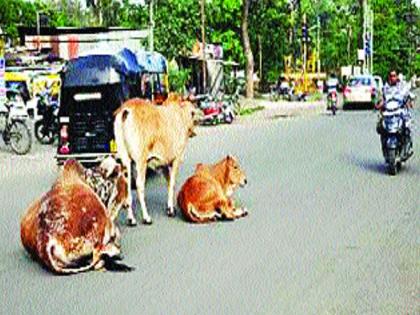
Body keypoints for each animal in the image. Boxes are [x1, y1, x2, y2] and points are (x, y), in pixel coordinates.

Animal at [112, 95, 196, 226]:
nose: (193, 132)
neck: (179, 116)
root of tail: (125, 109)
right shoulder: (176, 159)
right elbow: (172, 183)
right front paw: (171, 210)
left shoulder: (163, 164)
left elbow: (169, 182)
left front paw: (169, 206)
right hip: (140, 161)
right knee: (140, 185)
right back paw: (146, 217)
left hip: (125, 160)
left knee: (127, 186)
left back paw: (131, 219)